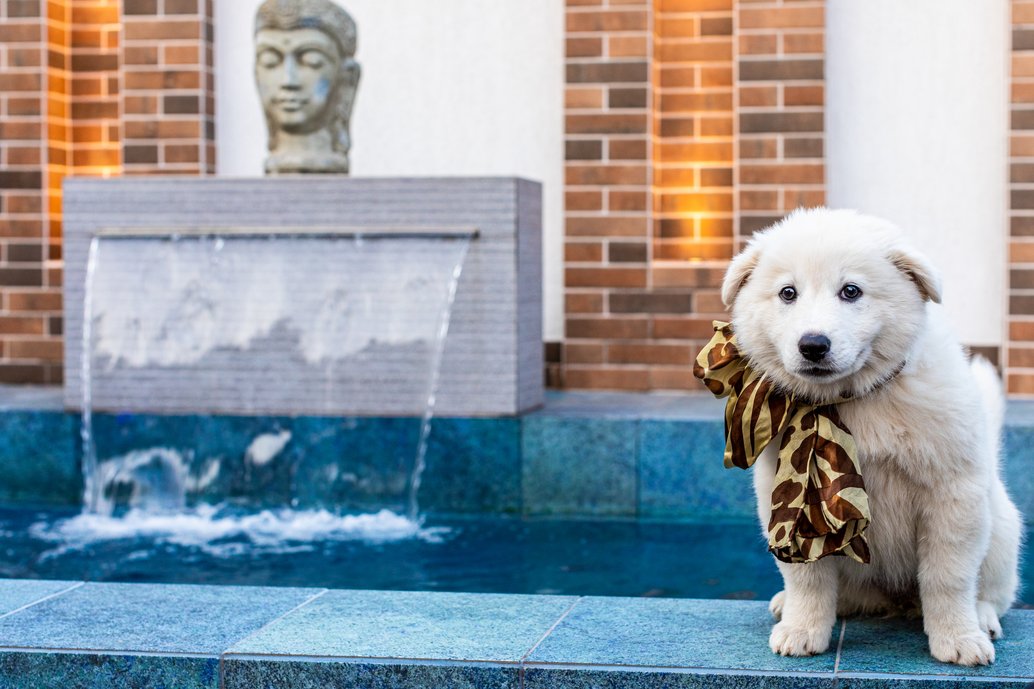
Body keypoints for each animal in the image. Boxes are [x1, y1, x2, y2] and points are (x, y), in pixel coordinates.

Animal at [723, 206, 1021, 662]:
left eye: (851, 291)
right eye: (788, 293)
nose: (813, 345)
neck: (854, 400)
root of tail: (892, 600)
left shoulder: (952, 492)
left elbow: (948, 576)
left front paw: (957, 639)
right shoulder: (794, 498)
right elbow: (808, 577)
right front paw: (802, 629)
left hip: (1002, 528)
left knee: (991, 590)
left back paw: (982, 618)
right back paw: (792, 604)